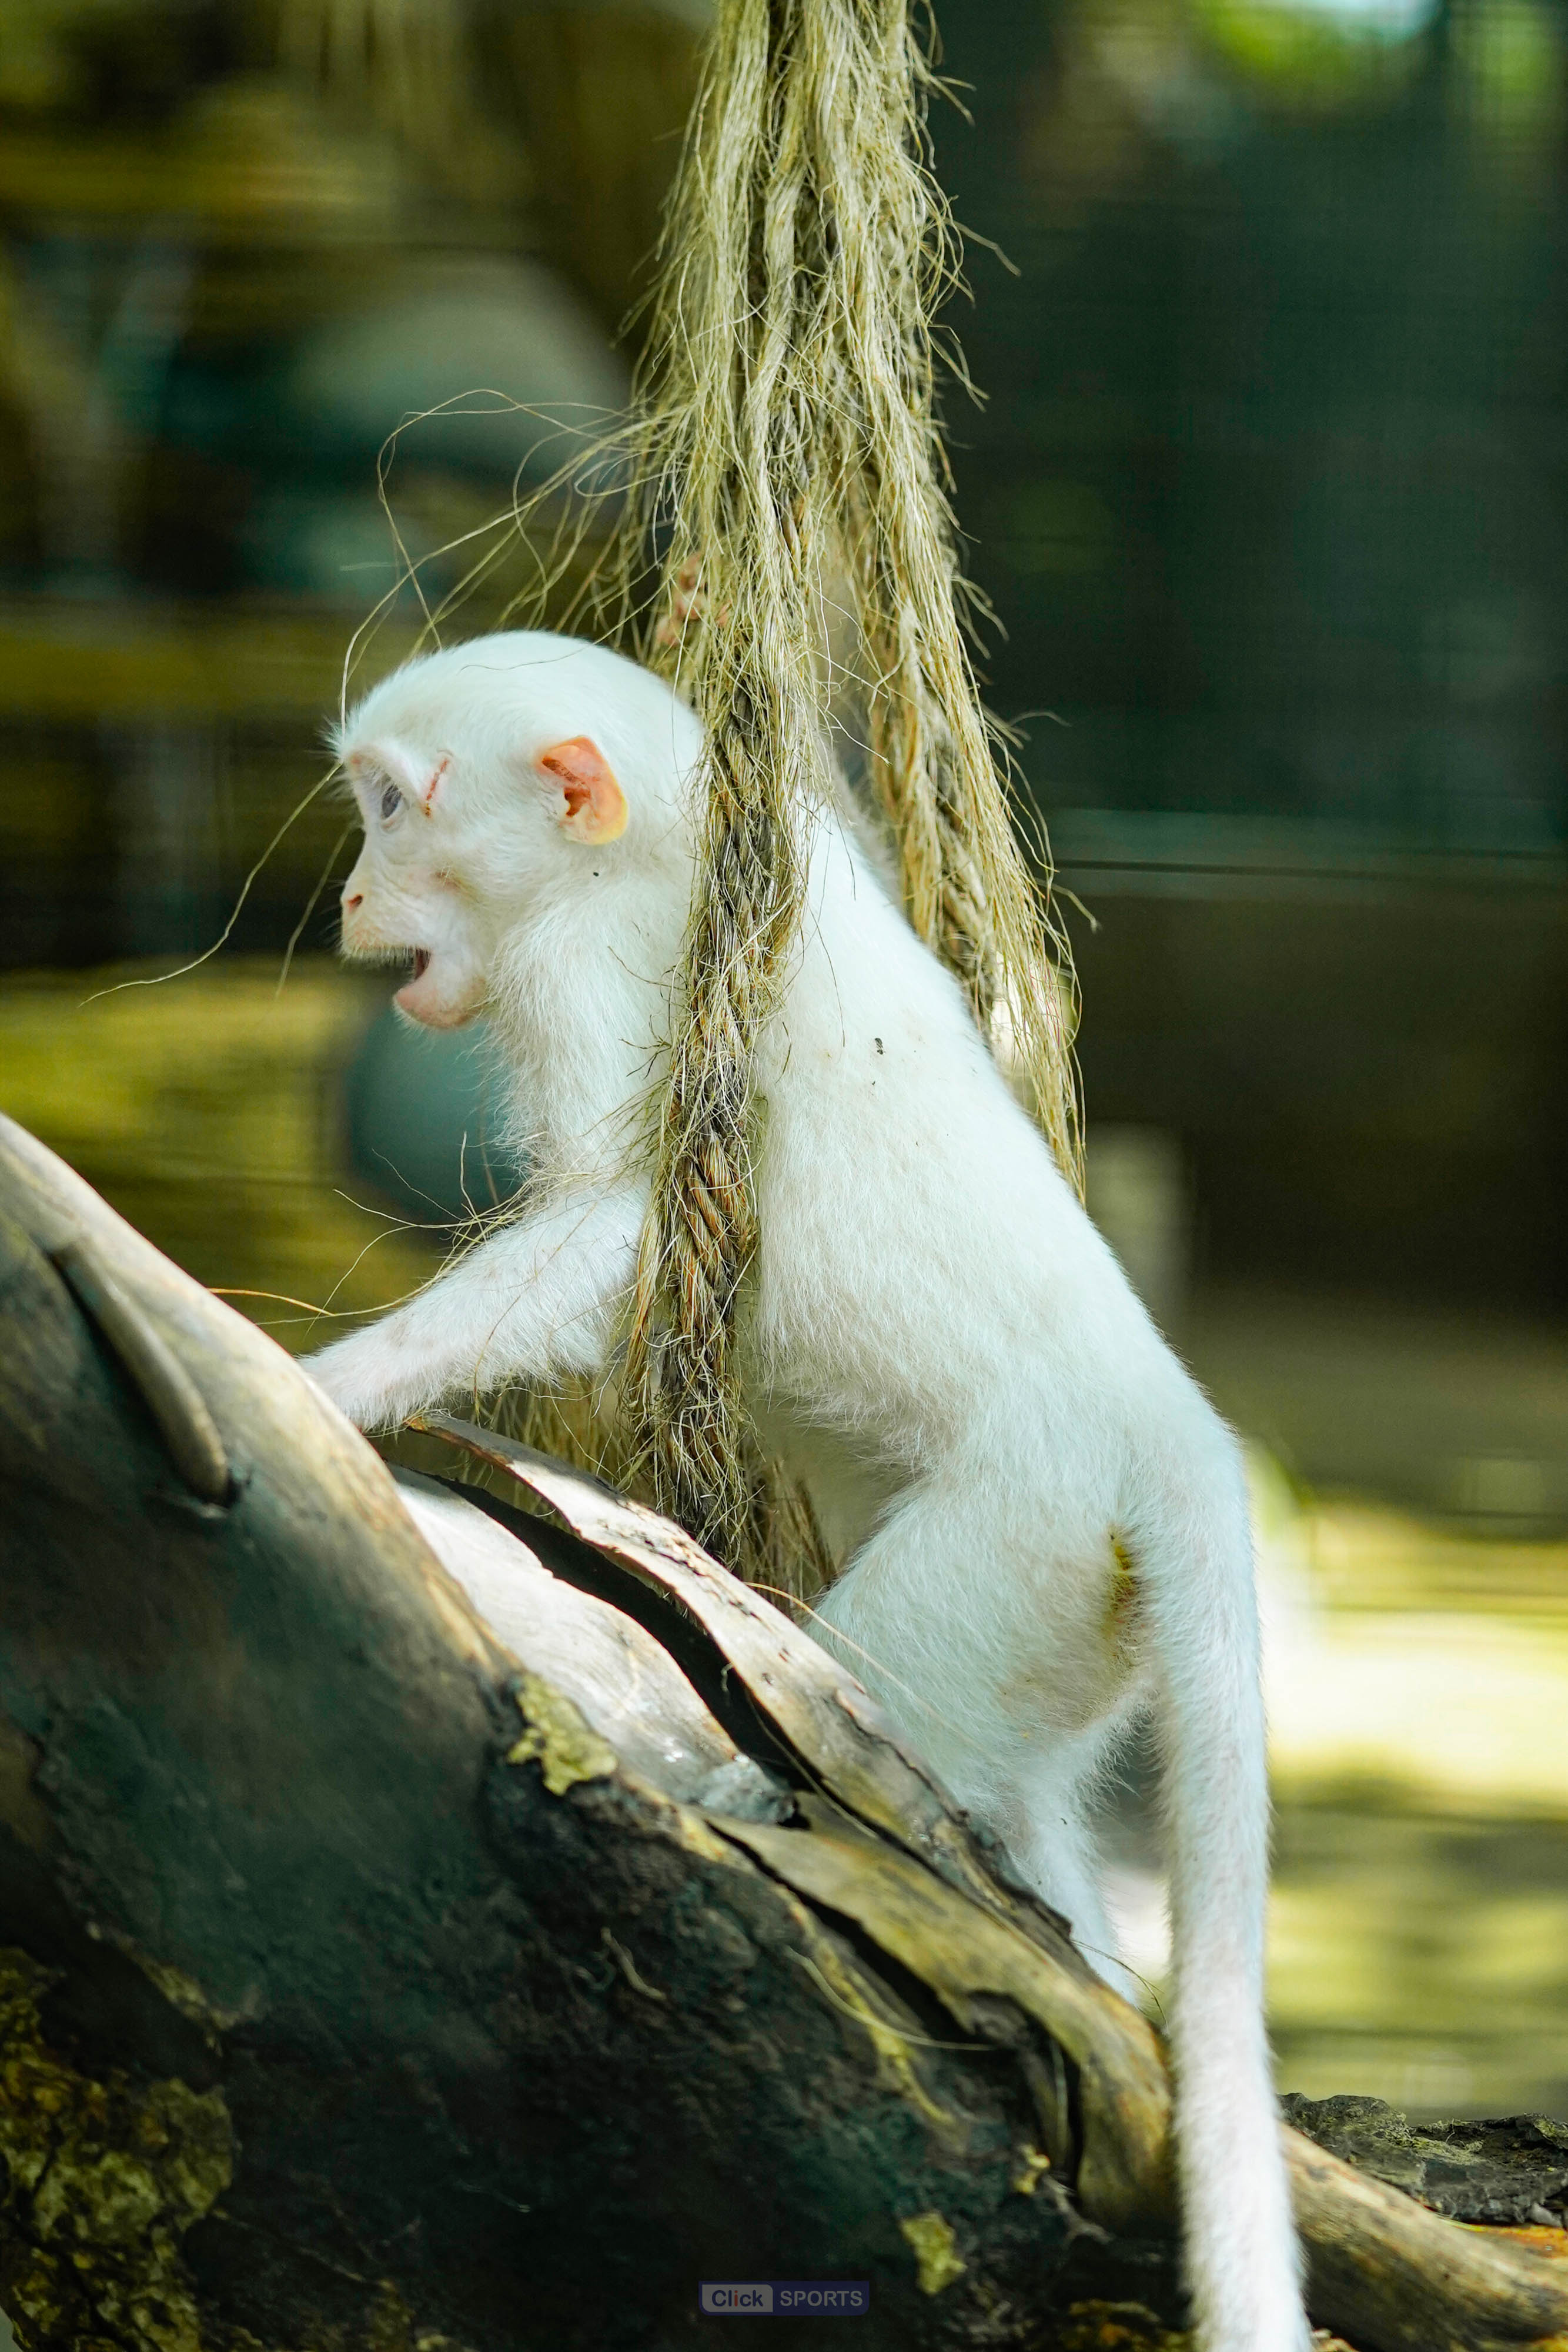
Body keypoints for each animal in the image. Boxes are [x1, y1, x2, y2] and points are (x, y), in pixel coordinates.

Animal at [304, 629, 1309, 2352]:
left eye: (390, 807)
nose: (361, 897)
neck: (660, 841)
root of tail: (1164, 1426)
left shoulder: (586, 964)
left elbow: (613, 1228)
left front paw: (325, 1382)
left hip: (1021, 1534)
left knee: (884, 1689)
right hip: (1078, 1601)